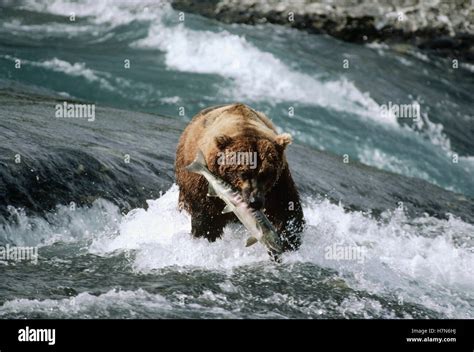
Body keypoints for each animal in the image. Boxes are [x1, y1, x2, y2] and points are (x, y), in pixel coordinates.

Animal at [174, 103, 304, 252]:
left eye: (266, 174)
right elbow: (207, 217)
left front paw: (288, 242)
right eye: (244, 173)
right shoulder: (203, 184)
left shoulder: (278, 184)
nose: (255, 202)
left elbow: (285, 211)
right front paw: (206, 236)